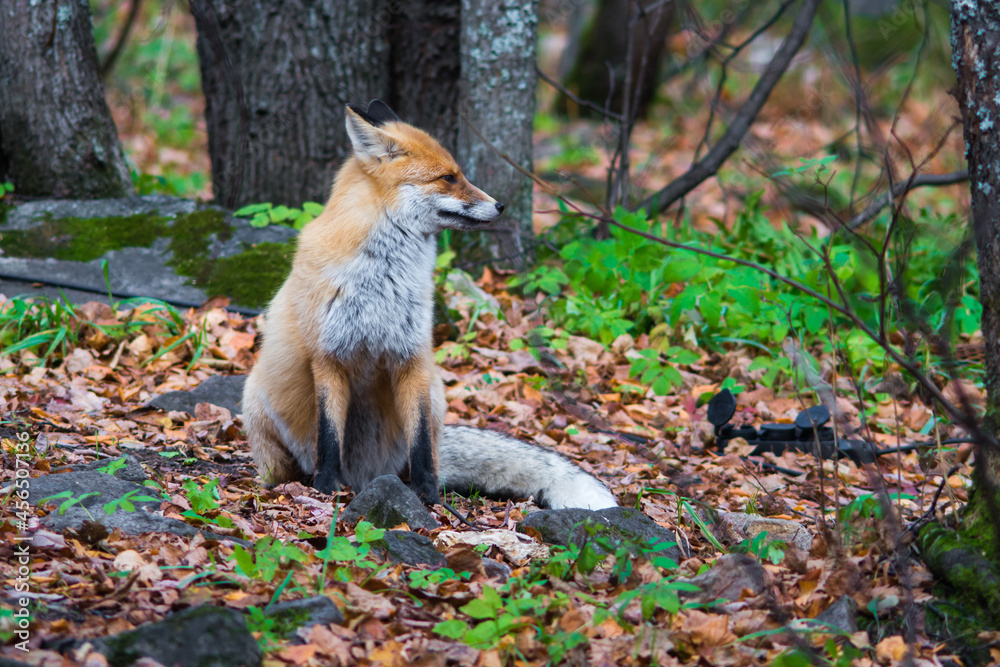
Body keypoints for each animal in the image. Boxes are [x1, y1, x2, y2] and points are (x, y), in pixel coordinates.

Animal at [242, 100, 616, 511]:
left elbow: (421, 443)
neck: (383, 278)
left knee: (428, 449)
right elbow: (328, 435)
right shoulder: (329, 356)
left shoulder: (414, 355)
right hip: (256, 403)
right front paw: (325, 488)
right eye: (447, 178)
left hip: (437, 397)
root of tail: (364, 475)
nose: (501, 205)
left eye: (459, 174)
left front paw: (427, 495)